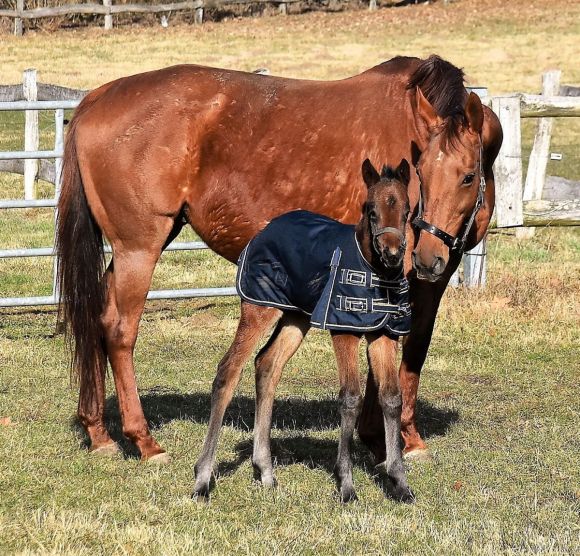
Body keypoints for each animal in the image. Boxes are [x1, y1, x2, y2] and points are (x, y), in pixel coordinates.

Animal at [55, 55, 502, 464]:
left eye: (467, 176)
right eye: (421, 173)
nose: (426, 254)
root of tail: (96, 98)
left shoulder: (428, 278)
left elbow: (408, 349)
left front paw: (382, 437)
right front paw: (398, 440)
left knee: (98, 317)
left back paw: (98, 431)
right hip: (138, 248)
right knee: (120, 331)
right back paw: (144, 440)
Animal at [194, 159, 412, 502]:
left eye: (406, 210)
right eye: (371, 210)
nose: (392, 253)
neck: (374, 272)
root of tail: (264, 229)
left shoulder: (383, 335)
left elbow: (391, 398)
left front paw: (400, 483)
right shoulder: (344, 329)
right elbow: (350, 397)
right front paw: (346, 485)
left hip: (296, 318)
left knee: (267, 364)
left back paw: (265, 471)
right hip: (259, 307)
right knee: (228, 371)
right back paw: (202, 479)